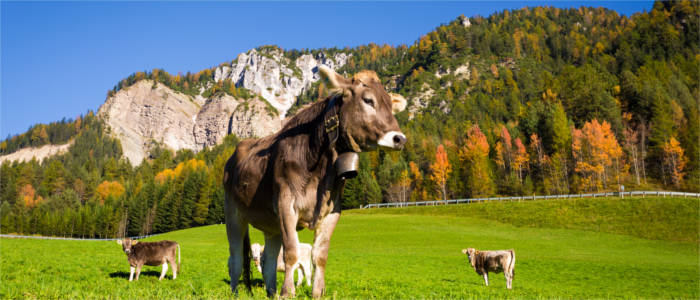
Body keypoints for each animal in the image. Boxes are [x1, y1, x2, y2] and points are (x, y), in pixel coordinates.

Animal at [224, 66, 408, 298]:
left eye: (391, 106)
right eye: (368, 100)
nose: (399, 138)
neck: (318, 169)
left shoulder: (332, 211)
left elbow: (320, 255)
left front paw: (317, 292)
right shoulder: (286, 205)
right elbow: (291, 252)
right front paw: (288, 292)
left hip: (270, 225)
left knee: (270, 261)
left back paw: (272, 292)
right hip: (233, 214)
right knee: (236, 258)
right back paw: (235, 292)